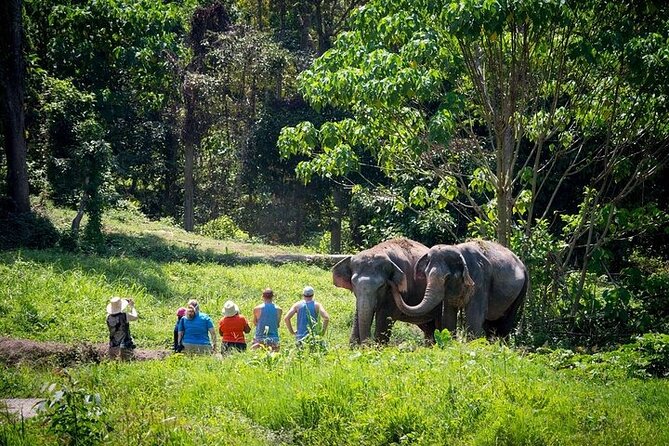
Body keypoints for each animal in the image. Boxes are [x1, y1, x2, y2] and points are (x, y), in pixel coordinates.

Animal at [391, 240, 528, 338]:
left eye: (447, 277)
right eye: (425, 274)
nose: (394, 283)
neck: (457, 249)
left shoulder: (480, 278)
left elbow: (475, 315)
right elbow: (448, 314)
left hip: (521, 290)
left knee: (506, 322)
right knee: (490, 325)